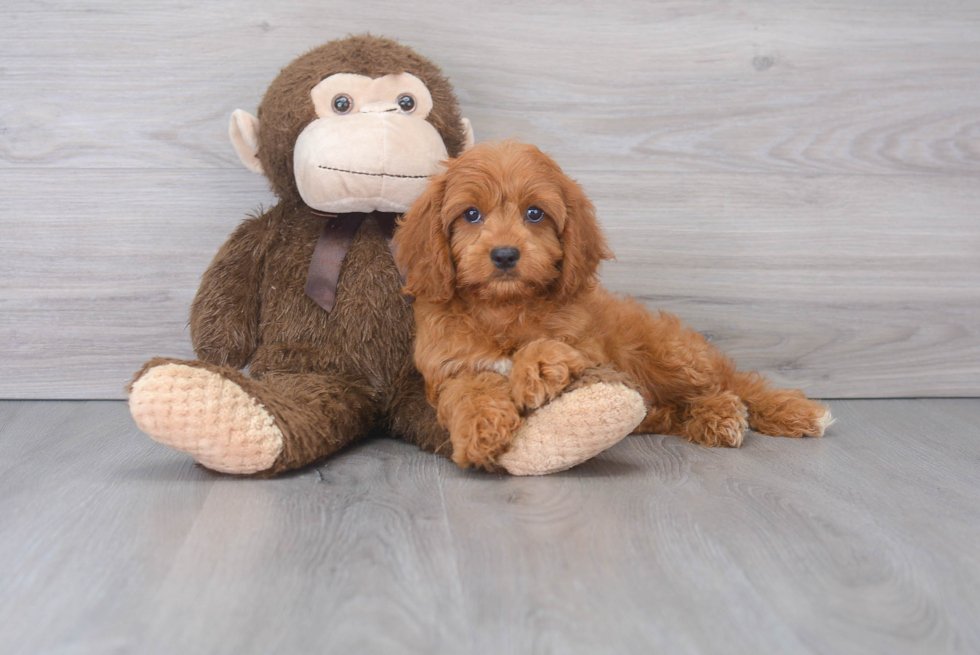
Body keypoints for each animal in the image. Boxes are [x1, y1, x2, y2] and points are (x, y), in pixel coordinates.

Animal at [392, 142, 836, 472]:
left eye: (534, 213)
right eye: (471, 214)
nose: (504, 255)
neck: (504, 306)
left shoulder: (588, 350)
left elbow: (548, 345)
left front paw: (536, 369)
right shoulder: (450, 367)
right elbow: (470, 390)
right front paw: (480, 430)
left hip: (672, 357)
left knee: (732, 384)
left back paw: (754, 412)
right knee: (685, 405)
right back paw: (711, 419)